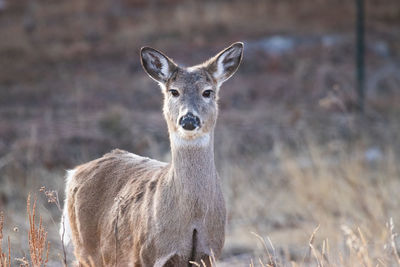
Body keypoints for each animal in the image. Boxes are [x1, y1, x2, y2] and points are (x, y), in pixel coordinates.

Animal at [61, 42, 244, 267]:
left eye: (207, 92)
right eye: (174, 91)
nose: (188, 119)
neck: (193, 218)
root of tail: (74, 173)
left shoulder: (209, 253)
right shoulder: (147, 254)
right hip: (85, 250)